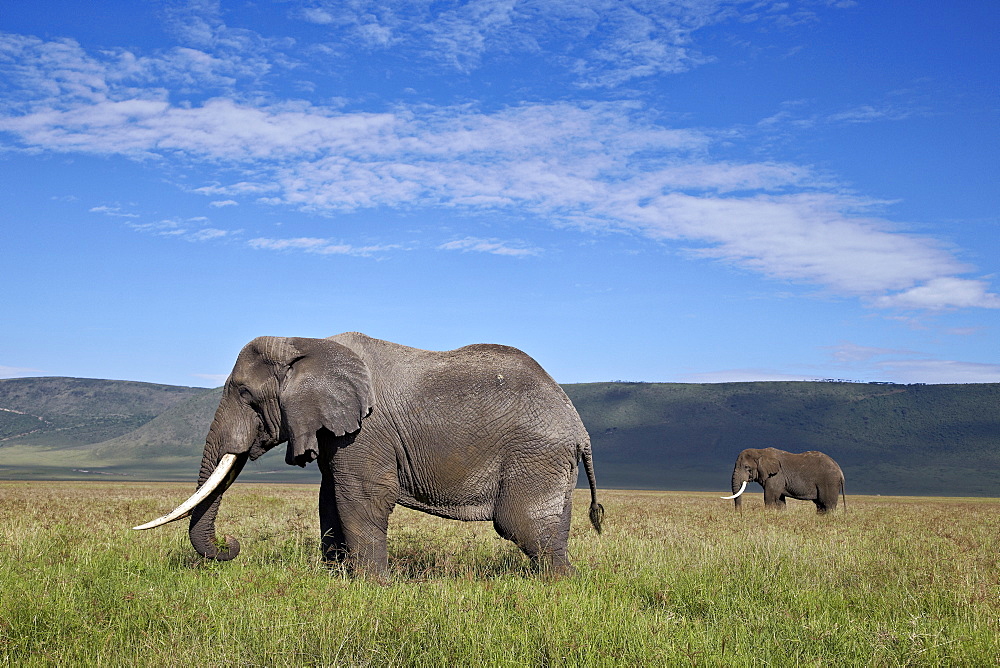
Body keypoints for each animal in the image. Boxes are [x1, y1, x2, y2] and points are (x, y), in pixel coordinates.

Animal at [133, 334, 600, 576]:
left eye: (246, 395)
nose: (231, 544)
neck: (305, 343)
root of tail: (579, 428)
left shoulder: (366, 431)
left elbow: (360, 496)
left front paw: (371, 588)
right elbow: (330, 497)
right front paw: (335, 579)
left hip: (535, 453)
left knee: (523, 525)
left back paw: (557, 590)